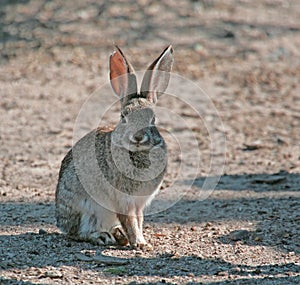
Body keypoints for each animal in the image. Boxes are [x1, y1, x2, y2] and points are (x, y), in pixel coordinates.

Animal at [56, 45, 173, 247]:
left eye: (153, 119)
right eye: (123, 117)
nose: (138, 137)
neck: (138, 152)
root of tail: (60, 221)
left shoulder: (139, 203)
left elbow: (139, 219)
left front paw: (141, 241)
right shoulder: (123, 200)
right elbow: (130, 221)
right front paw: (140, 243)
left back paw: (118, 235)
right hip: (86, 208)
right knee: (78, 233)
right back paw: (102, 236)